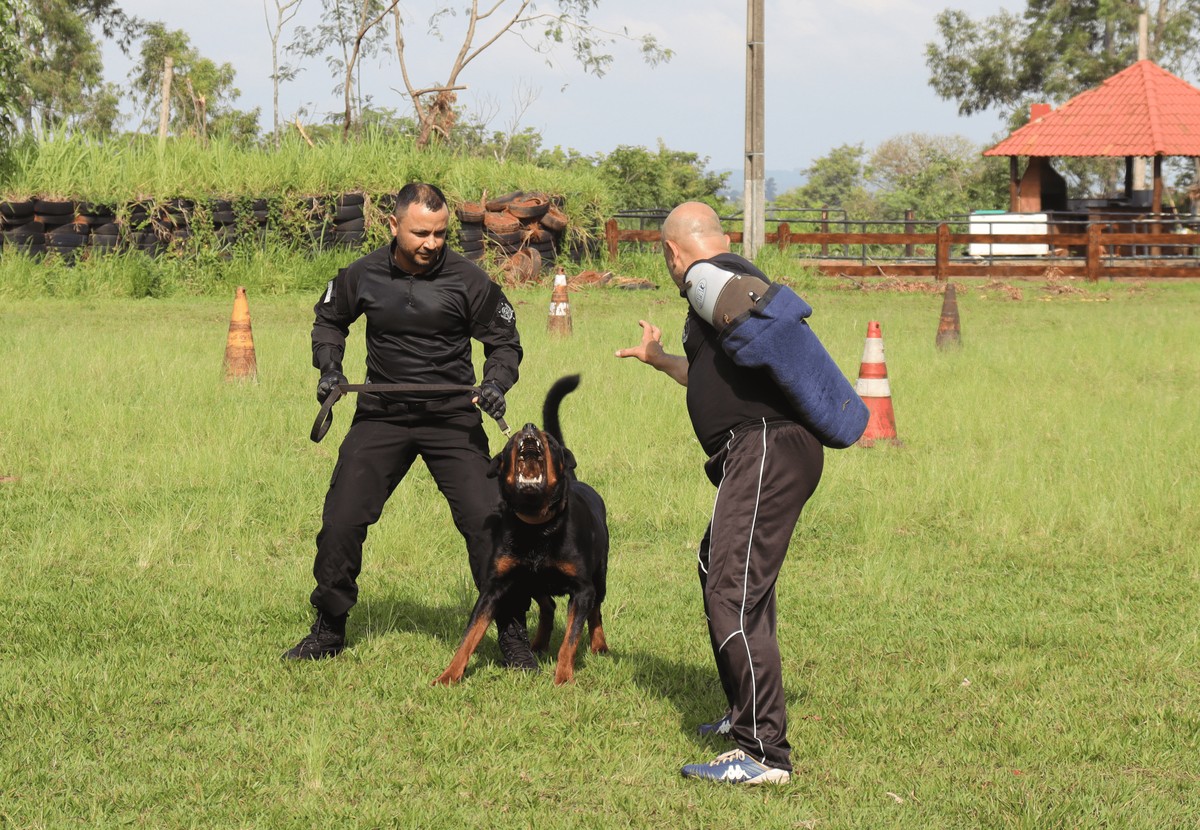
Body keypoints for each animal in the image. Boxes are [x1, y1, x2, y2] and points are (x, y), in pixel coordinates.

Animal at [434, 376, 609, 686]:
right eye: (513, 439)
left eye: (550, 441)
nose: (529, 427)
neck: (537, 527)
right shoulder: (494, 587)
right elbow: (470, 635)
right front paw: (449, 675)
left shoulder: (582, 589)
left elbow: (570, 639)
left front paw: (563, 677)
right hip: (530, 581)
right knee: (548, 606)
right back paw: (538, 644)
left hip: (599, 575)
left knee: (596, 611)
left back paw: (599, 645)